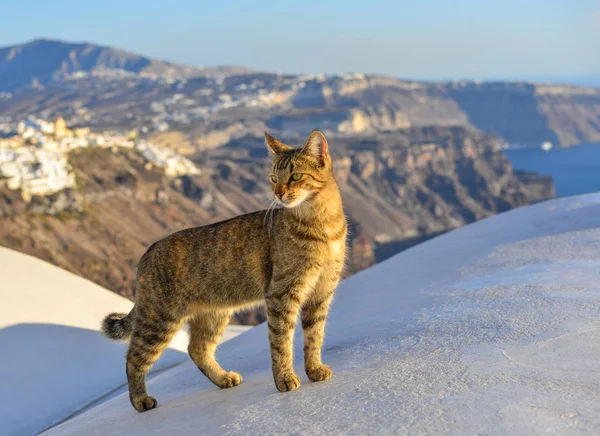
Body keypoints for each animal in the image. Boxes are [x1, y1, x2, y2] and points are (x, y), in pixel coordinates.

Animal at [102, 129, 346, 412]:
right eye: (274, 178)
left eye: (295, 176)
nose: (278, 194)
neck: (322, 224)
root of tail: (146, 254)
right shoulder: (281, 294)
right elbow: (281, 341)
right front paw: (285, 378)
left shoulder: (321, 291)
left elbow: (314, 335)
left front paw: (315, 369)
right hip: (159, 319)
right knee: (133, 357)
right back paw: (141, 400)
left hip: (213, 314)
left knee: (197, 349)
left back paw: (222, 378)